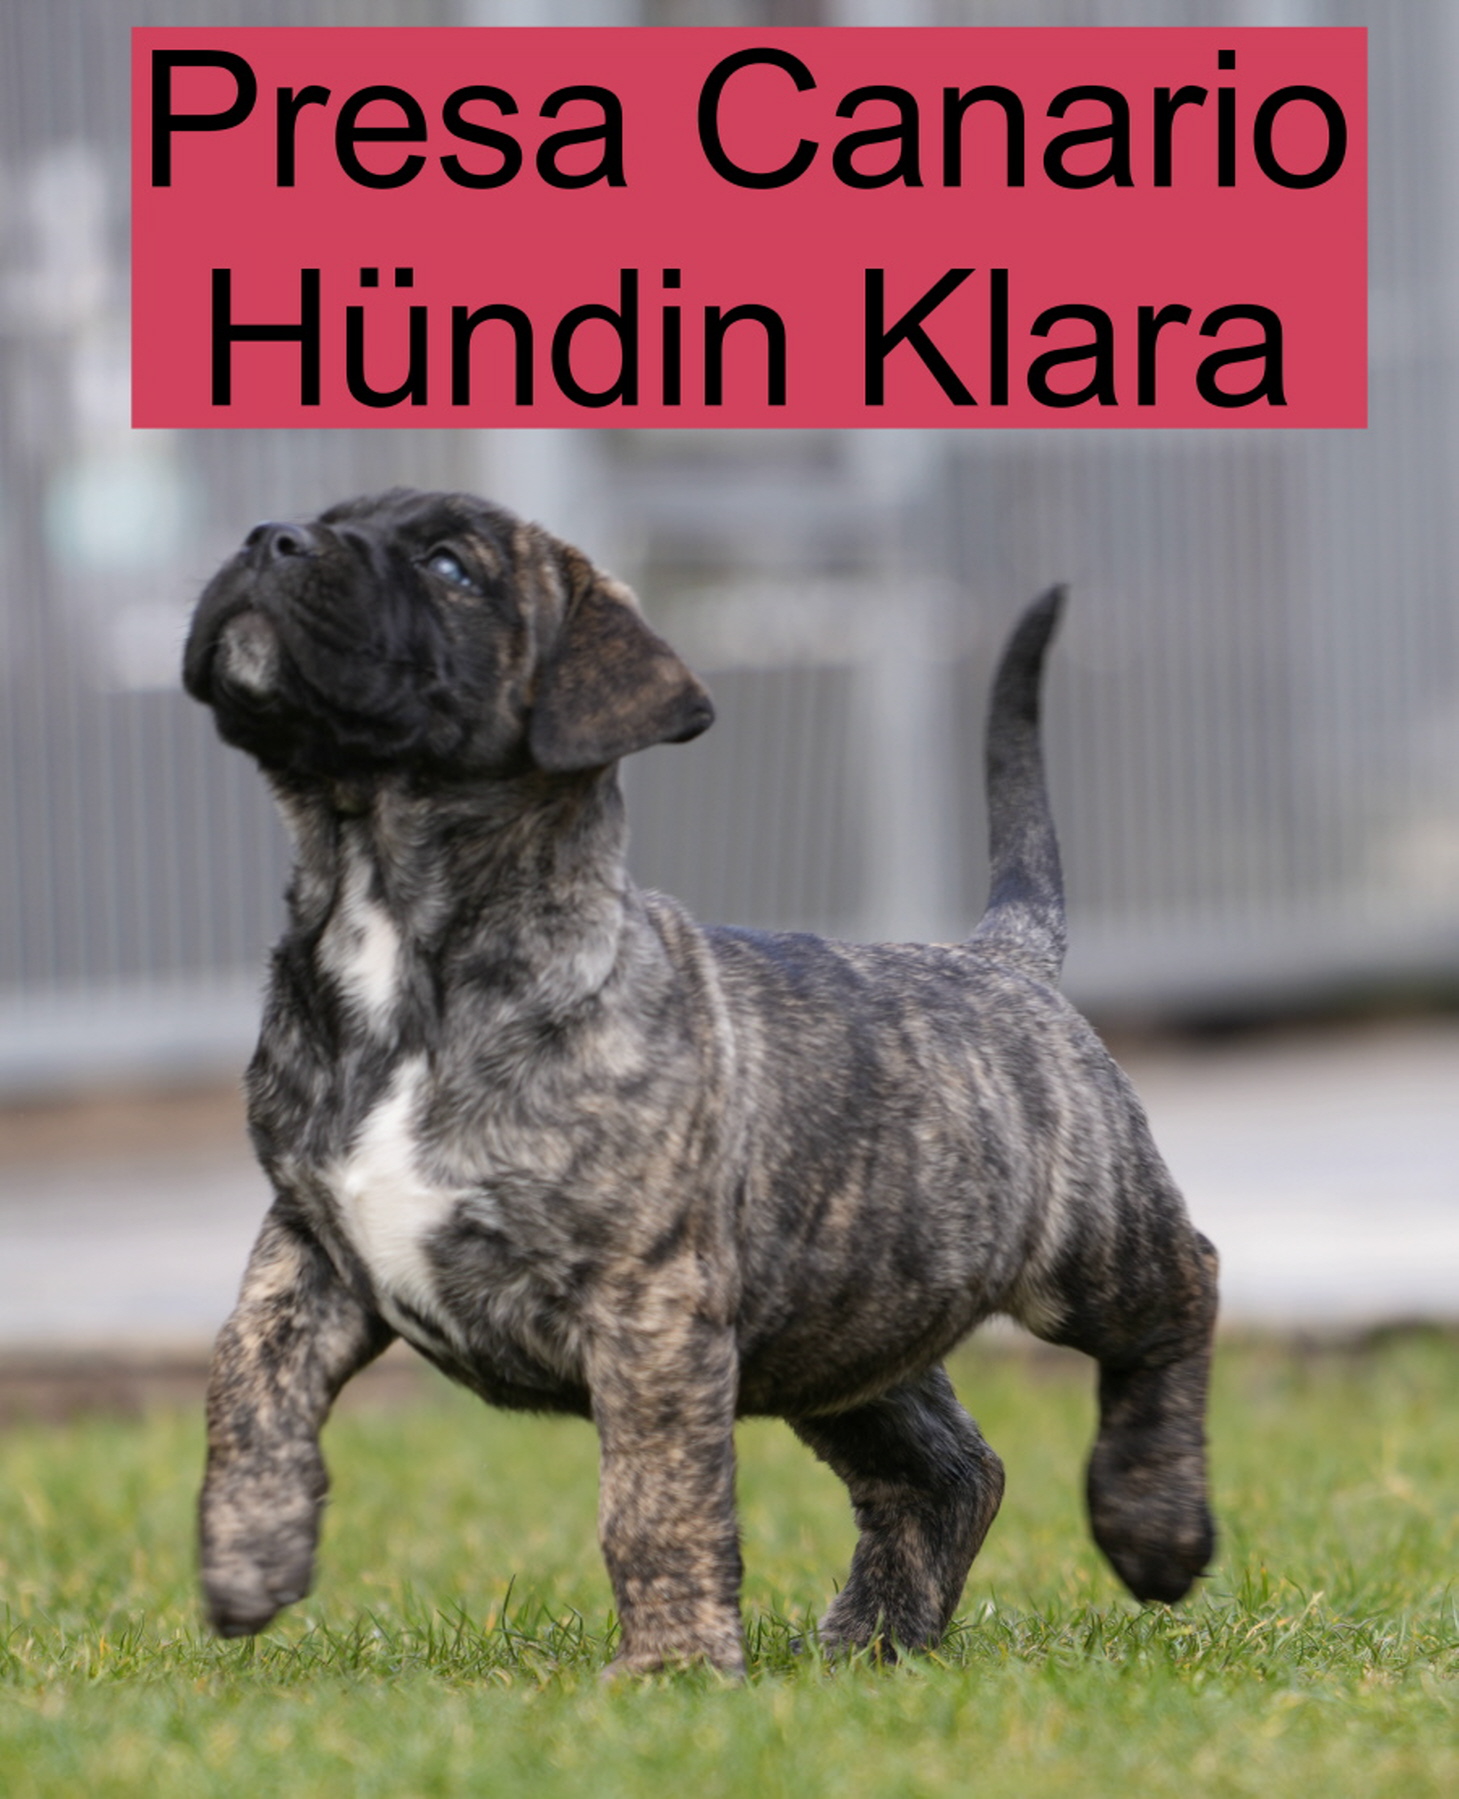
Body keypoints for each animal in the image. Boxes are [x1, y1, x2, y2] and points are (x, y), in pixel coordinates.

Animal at [183, 488, 1218, 1677]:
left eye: (449, 567)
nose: (268, 541)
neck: (390, 932)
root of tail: (1002, 959)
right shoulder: (306, 1246)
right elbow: (245, 1383)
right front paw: (249, 1552)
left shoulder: (650, 1303)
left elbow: (654, 1494)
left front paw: (671, 1665)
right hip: (844, 1329)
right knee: (948, 1468)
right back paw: (873, 1637)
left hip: (1090, 1249)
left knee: (1182, 1293)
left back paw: (1153, 1526)